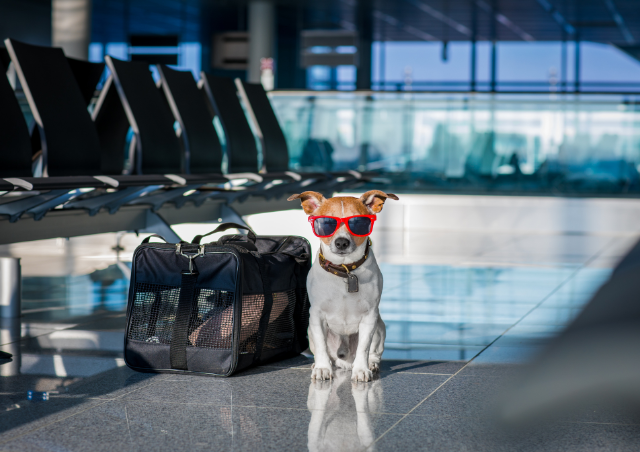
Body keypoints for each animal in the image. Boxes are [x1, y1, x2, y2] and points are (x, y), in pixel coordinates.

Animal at [288, 190, 398, 382]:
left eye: (358, 222)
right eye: (326, 223)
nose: (341, 242)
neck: (345, 269)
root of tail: (345, 362)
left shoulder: (370, 317)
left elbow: (364, 348)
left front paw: (361, 369)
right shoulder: (316, 316)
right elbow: (322, 347)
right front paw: (322, 368)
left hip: (379, 327)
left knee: (373, 352)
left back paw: (371, 364)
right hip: (311, 330)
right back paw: (319, 364)